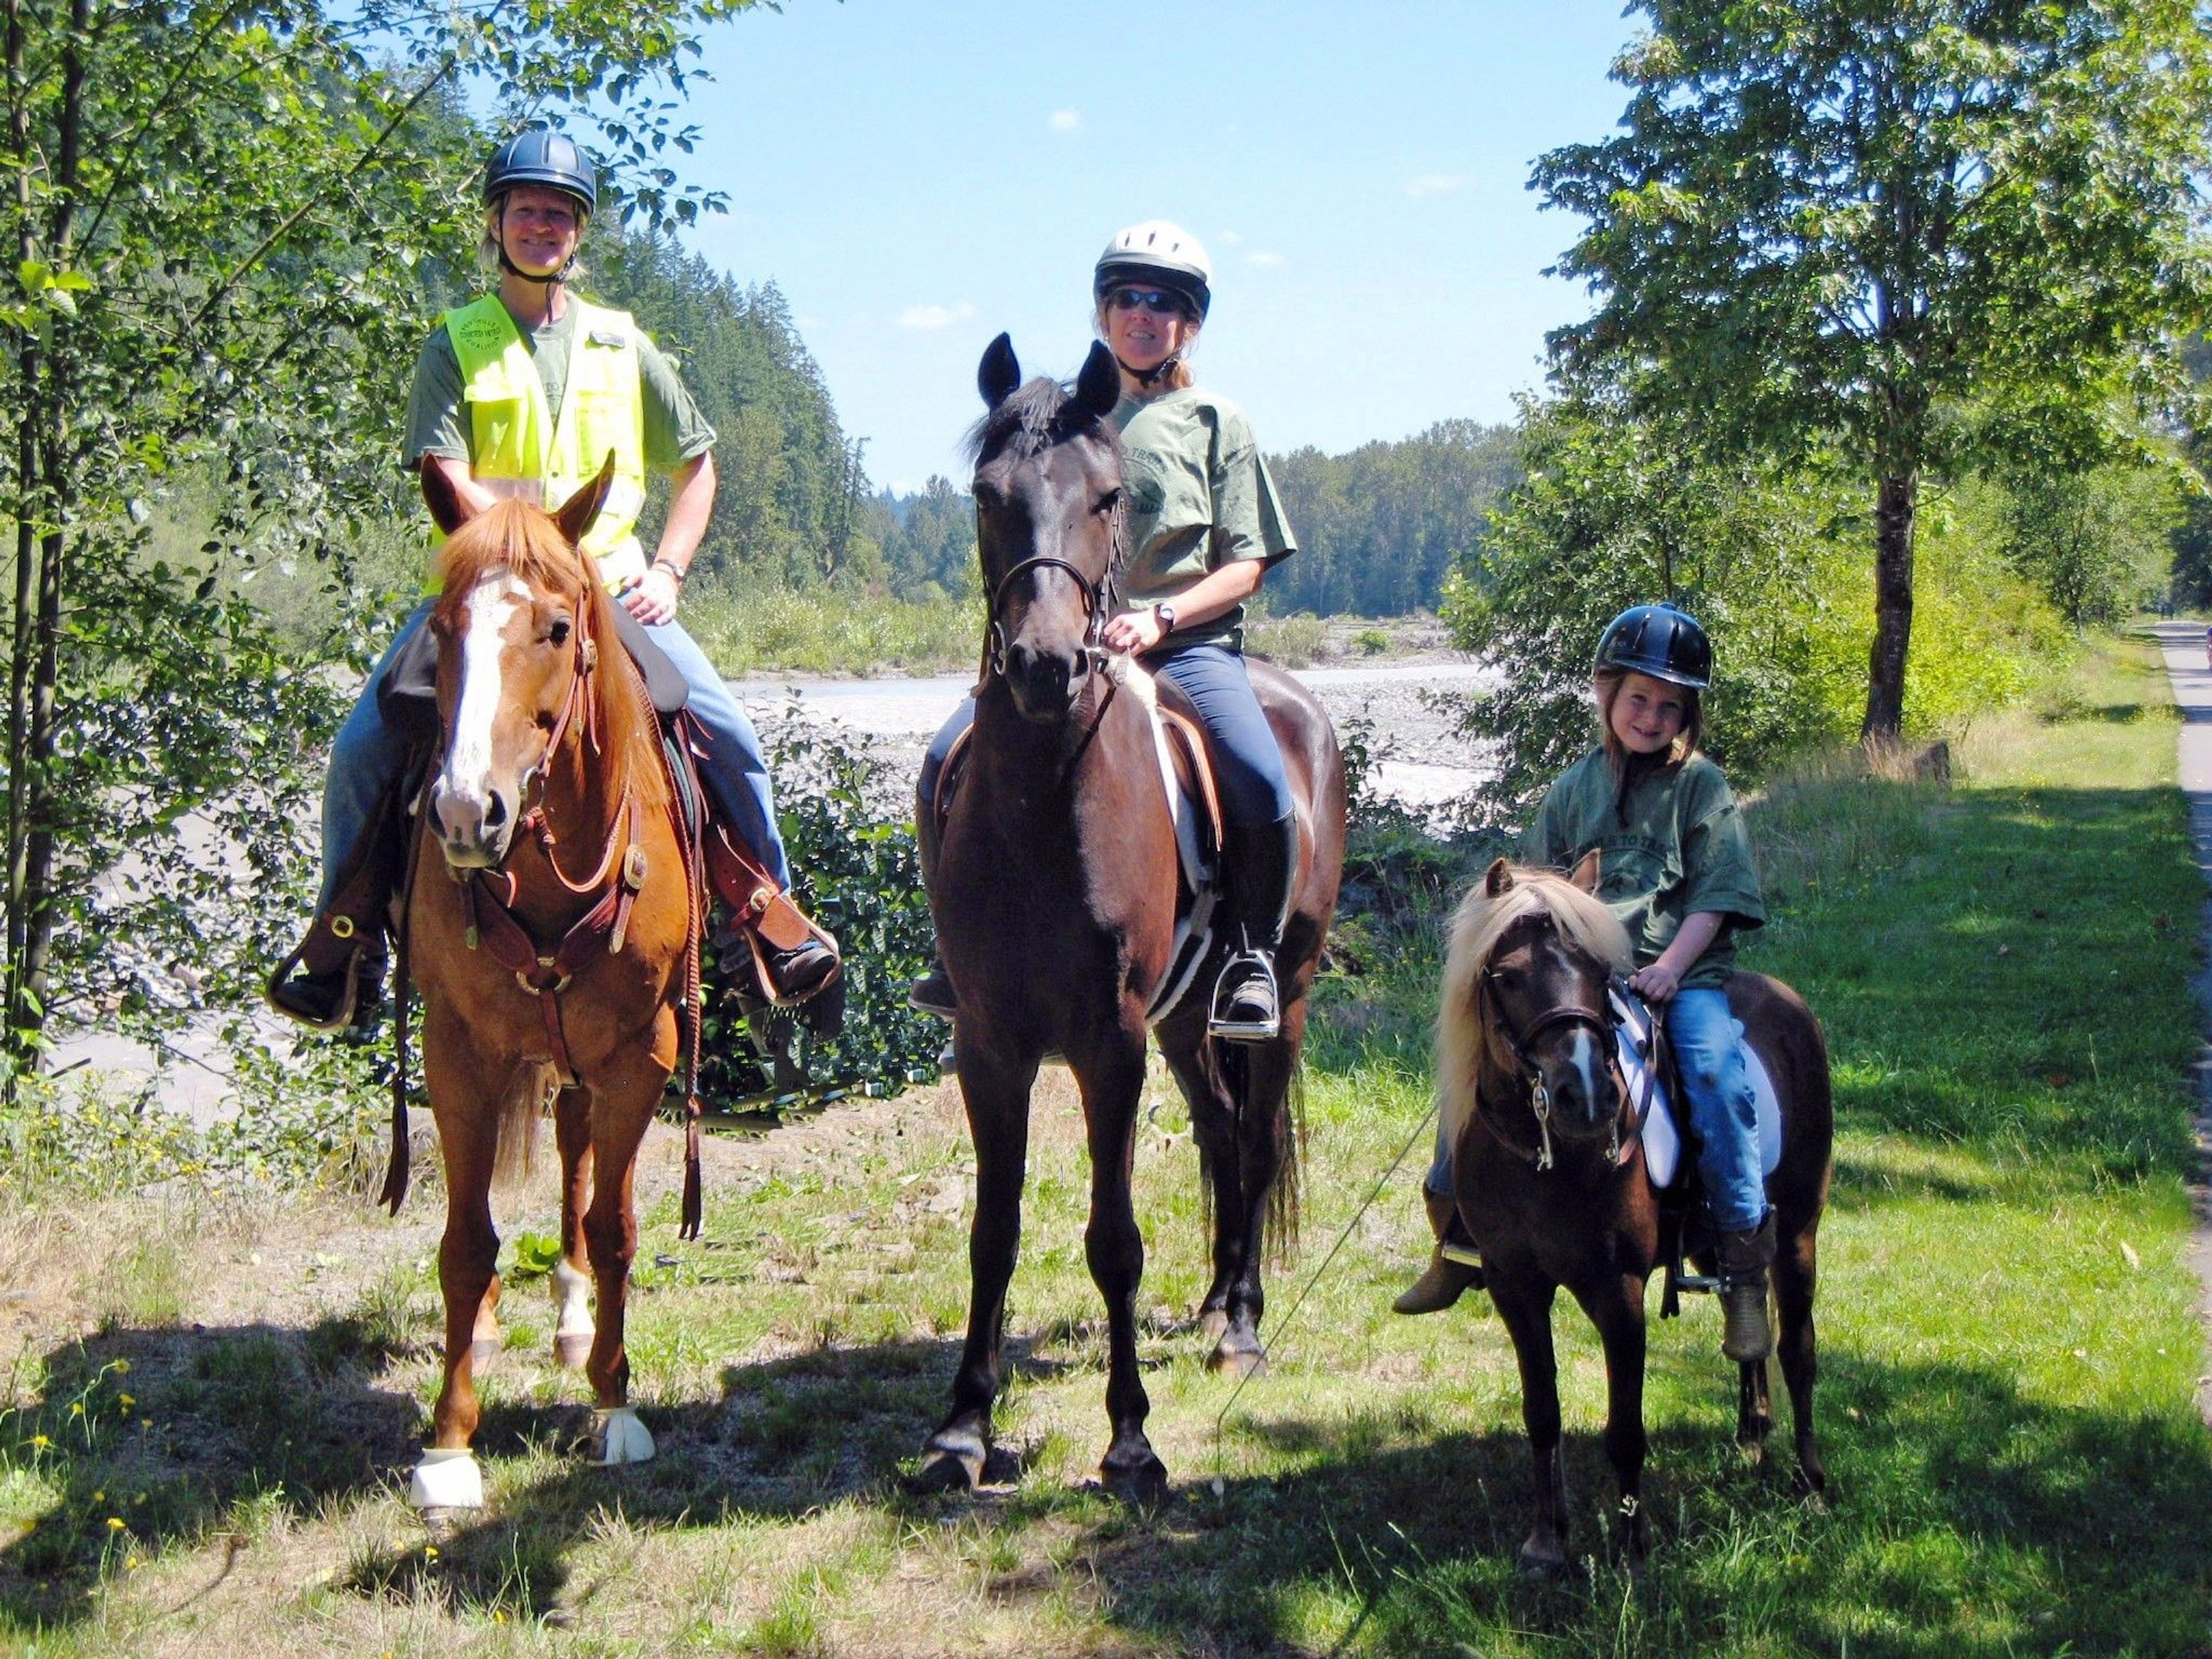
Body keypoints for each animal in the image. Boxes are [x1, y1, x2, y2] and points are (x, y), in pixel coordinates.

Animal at [398, 478, 690, 1521]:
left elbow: (614, 1230)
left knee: (573, 1159)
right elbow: (465, 1242)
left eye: (558, 629)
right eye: (442, 628)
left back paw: (569, 1319)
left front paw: (616, 1402)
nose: (462, 811)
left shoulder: (641, 1054)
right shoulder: (458, 1053)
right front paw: (449, 1446)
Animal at [915, 340, 1344, 1504]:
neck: (1045, 806)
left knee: (1253, 1136)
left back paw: (1240, 1324)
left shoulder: (1109, 1045)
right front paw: (962, 1426)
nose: (1044, 665)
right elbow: (993, 1233)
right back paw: (1214, 1300)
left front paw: (1130, 1442)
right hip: (1186, 1021)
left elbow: (1113, 1240)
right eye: (987, 497)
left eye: (1110, 498)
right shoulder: (990, 1046)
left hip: (1280, 1000)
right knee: (1219, 1130)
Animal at [1433, 862, 1831, 1575]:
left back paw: (1810, 1483)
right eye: (1506, 976)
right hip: (1717, 1241)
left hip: (1800, 1233)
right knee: (1748, 1302)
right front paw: (1547, 1539)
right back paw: (1752, 1431)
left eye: (1599, 970)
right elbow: (1542, 1410)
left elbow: (1625, 1427)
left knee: (1798, 1350)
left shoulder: (1617, 1290)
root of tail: (1787, 1001)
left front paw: (1631, 1548)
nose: (1585, 1096)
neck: (1548, 1158)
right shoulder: (1515, 1285)